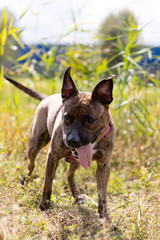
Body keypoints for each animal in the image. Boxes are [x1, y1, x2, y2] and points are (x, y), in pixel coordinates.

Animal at [4, 66, 115, 223]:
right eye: (67, 117)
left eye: (90, 120)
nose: (72, 140)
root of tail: (48, 97)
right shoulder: (53, 156)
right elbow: (47, 184)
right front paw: (44, 207)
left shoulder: (104, 165)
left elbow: (102, 196)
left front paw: (105, 220)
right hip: (35, 144)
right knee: (30, 165)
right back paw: (23, 184)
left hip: (77, 160)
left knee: (69, 174)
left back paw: (76, 196)